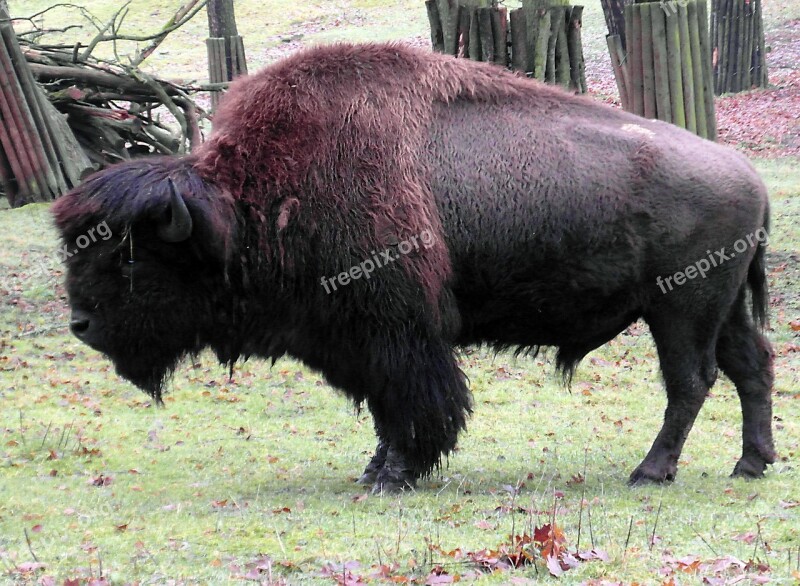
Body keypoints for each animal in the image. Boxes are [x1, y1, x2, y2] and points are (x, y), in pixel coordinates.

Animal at [51, 42, 776, 488]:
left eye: (130, 258)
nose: (81, 325)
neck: (252, 199)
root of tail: (749, 175)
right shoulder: (358, 340)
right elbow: (384, 408)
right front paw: (376, 470)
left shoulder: (396, 333)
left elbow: (412, 402)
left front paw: (395, 475)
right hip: (720, 306)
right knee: (751, 367)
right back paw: (751, 464)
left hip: (680, 308)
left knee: (691, 381)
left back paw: (650, 472)